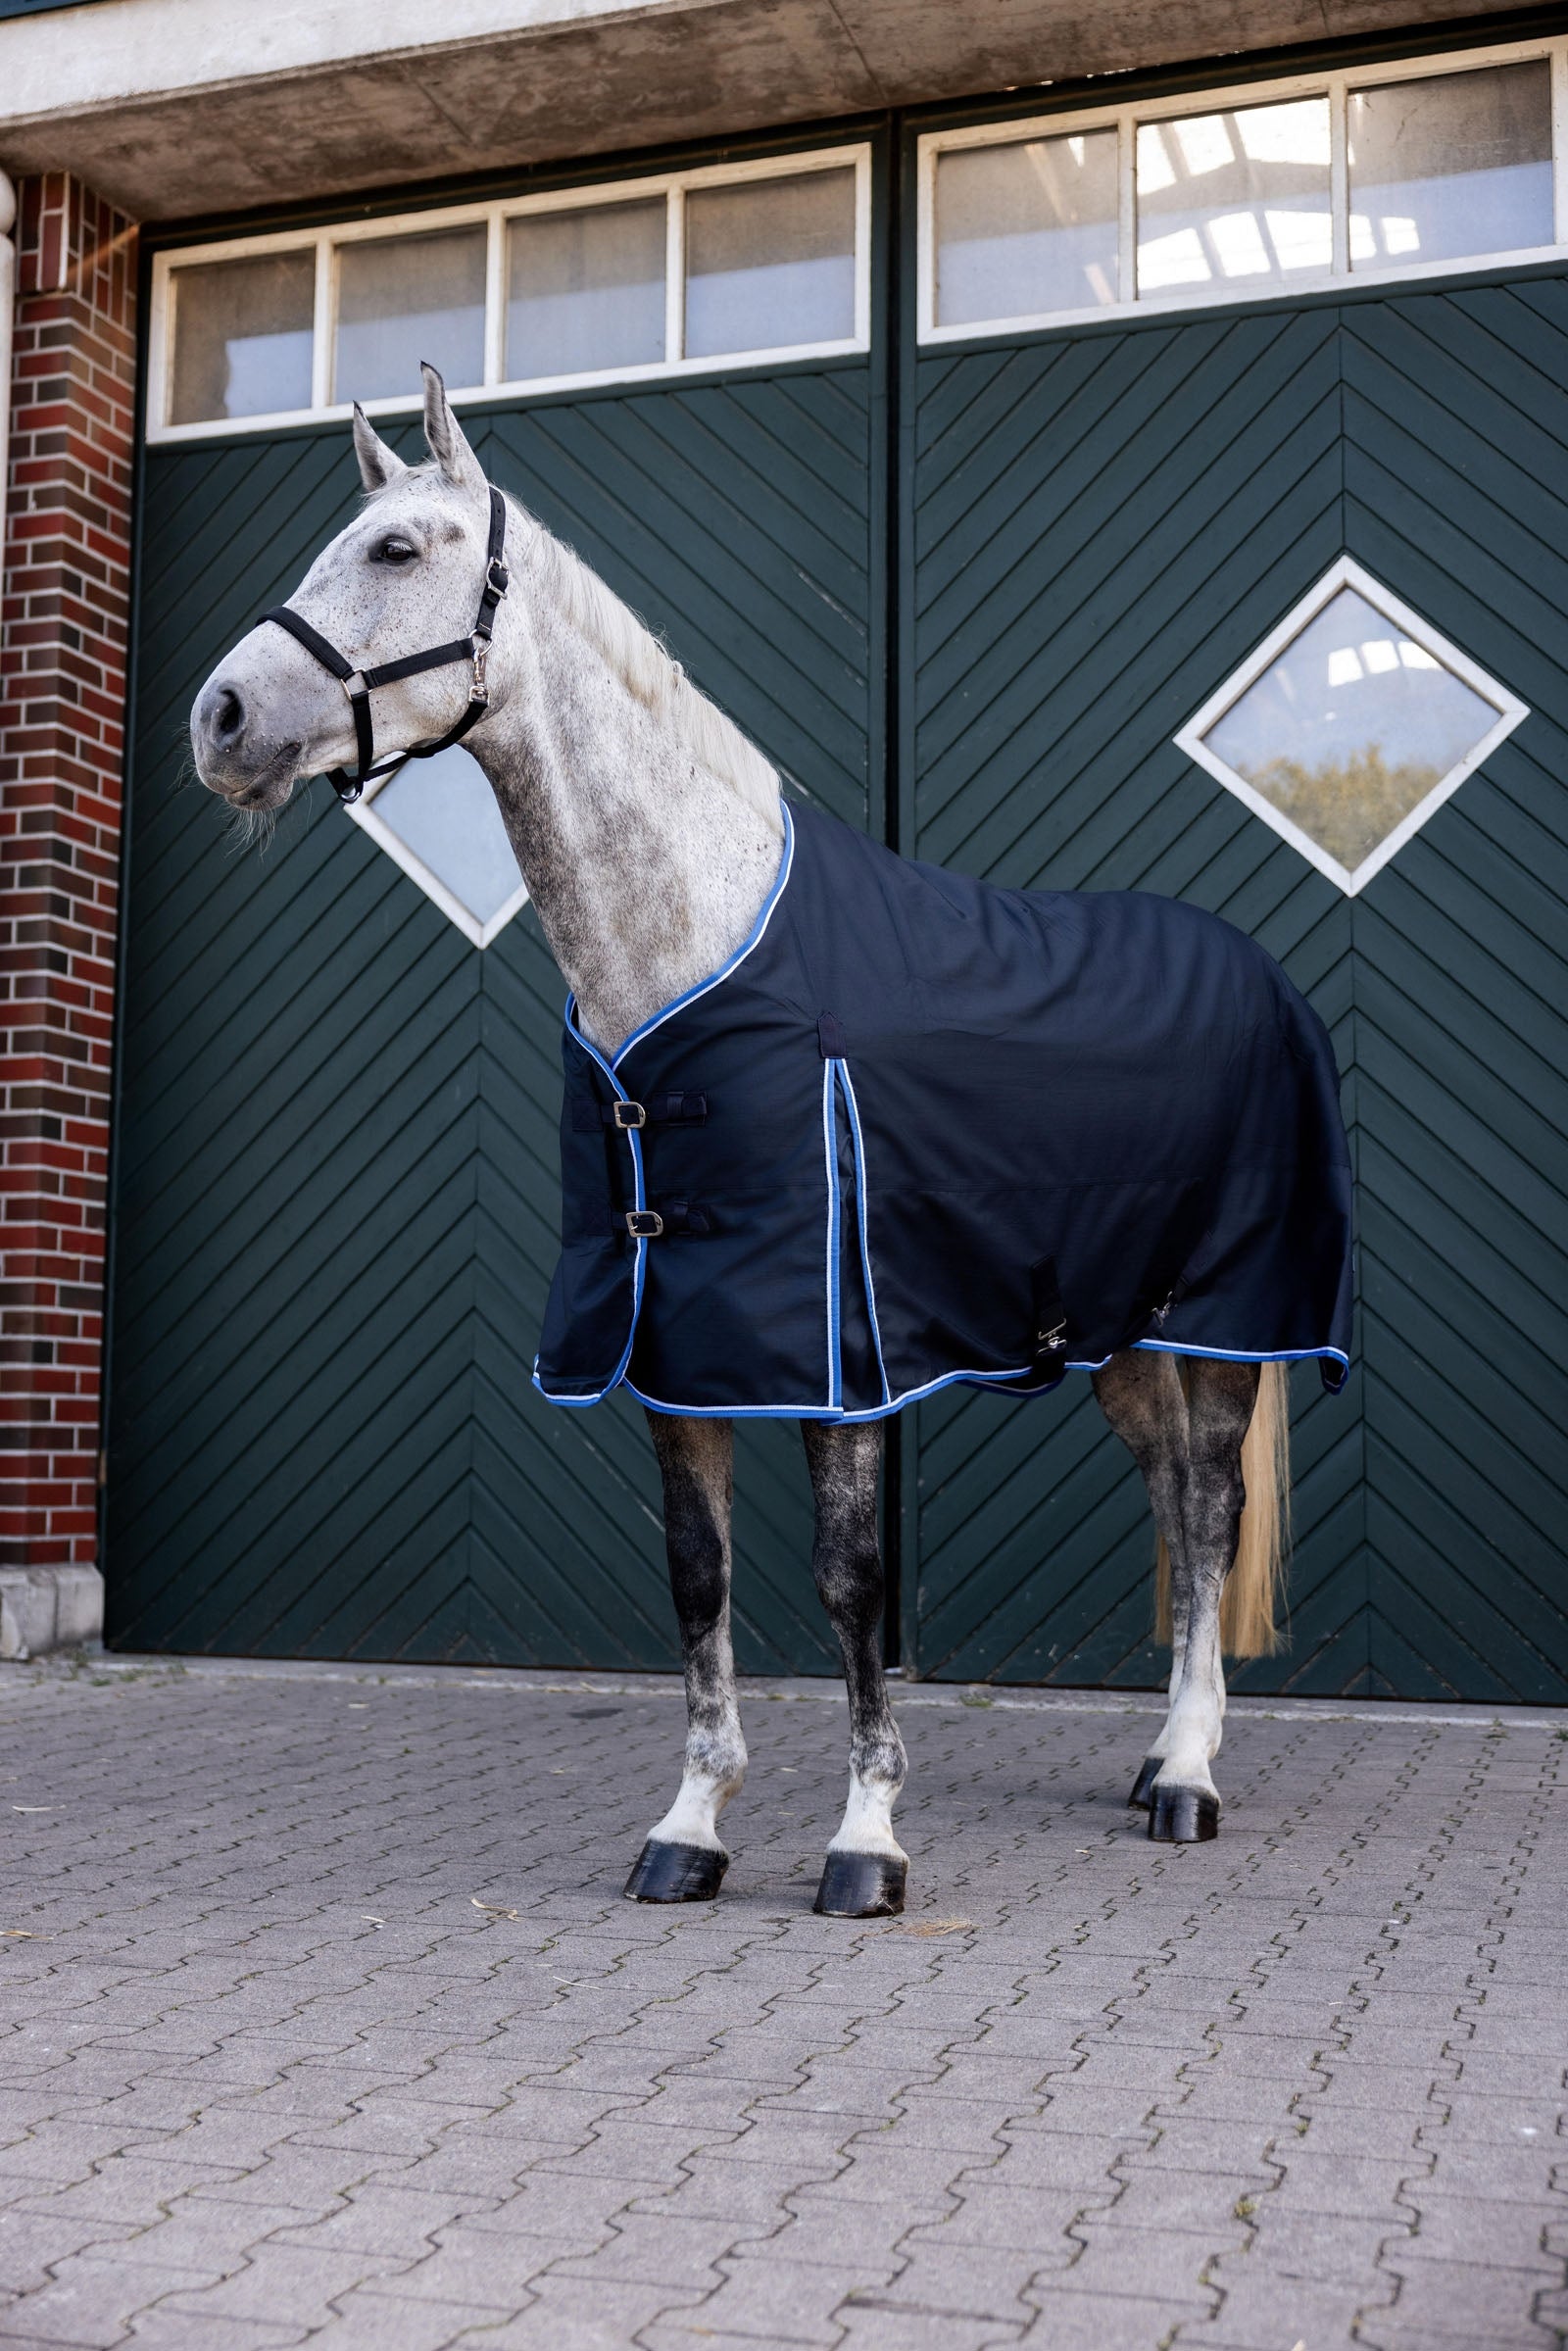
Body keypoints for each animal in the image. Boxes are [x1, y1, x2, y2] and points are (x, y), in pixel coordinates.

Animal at [189, 366, 1350, 1917]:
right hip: (1121, 1332)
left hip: (1227, 1322)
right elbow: (699, 1578)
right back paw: (1163, 1749)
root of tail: (1258, 970)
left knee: (1211, 1510)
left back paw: (1189, 1779)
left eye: (395, 547)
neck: (693, 948)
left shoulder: (836, 1352)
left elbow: (852, 1578)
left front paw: (867, 1839)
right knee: (1171, 1501)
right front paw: (690, 1824)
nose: (221, 718)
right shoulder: (672, 1340)